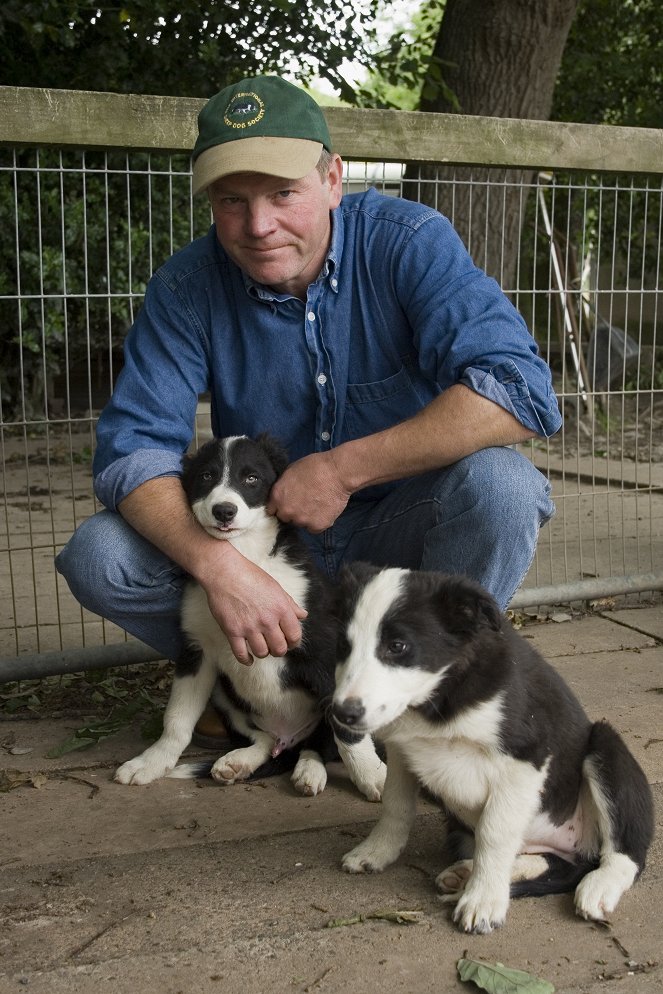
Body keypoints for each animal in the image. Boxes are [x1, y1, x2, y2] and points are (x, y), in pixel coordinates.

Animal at [116, 434, 386, 800]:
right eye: (207, 476)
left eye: (251, 478)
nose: (223, 510)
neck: (246, 557)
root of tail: (289, 737)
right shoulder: (196, 651)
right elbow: (177, 719)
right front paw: (151, 762)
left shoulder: (323, 651)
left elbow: (347, 731)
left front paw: (373, 775)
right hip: (226, 696)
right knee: (266, 739)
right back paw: (238, 762)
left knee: (319, 742)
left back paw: (309, 770)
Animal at [332, 564, 652, 928]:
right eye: (343, 646)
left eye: (397, 646)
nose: (342, 713)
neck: (442, 696)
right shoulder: (403, 751)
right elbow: (395, 806)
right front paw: (376, 851)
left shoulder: (525, 759)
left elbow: (494, 832)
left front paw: (483, 900)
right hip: (465, 833)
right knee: (553, 862)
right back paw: (465, 873)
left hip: (606, 747)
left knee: (624, 855)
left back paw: (597, 886)